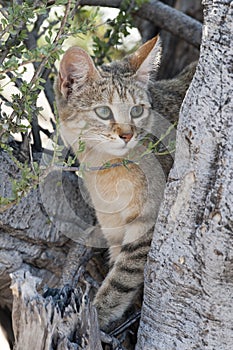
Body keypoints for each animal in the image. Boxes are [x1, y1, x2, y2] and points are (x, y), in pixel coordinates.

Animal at [55, 36, 197, 330]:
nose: (127, 134)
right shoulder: (114, 230)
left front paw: (100, 312)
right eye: (103, 112)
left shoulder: (147, 226)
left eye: (136, 110)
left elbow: (122, 277)